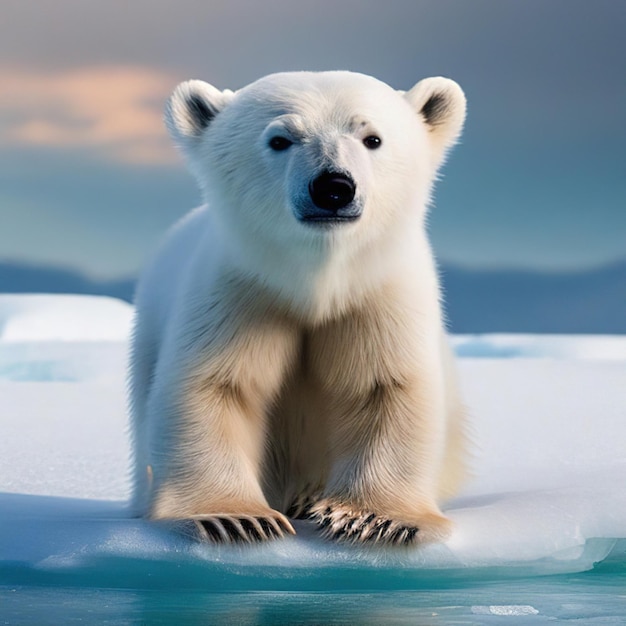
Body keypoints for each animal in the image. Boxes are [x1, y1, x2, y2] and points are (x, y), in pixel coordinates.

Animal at [130, 70, 464, 544]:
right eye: (280, 139)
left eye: (372, 138)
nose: (333, 187)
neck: (316, 283)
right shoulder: (238, 296)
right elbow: (214, 389)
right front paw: (235, 518)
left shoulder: (379, 300)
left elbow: (386, 387)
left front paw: (372, 518)